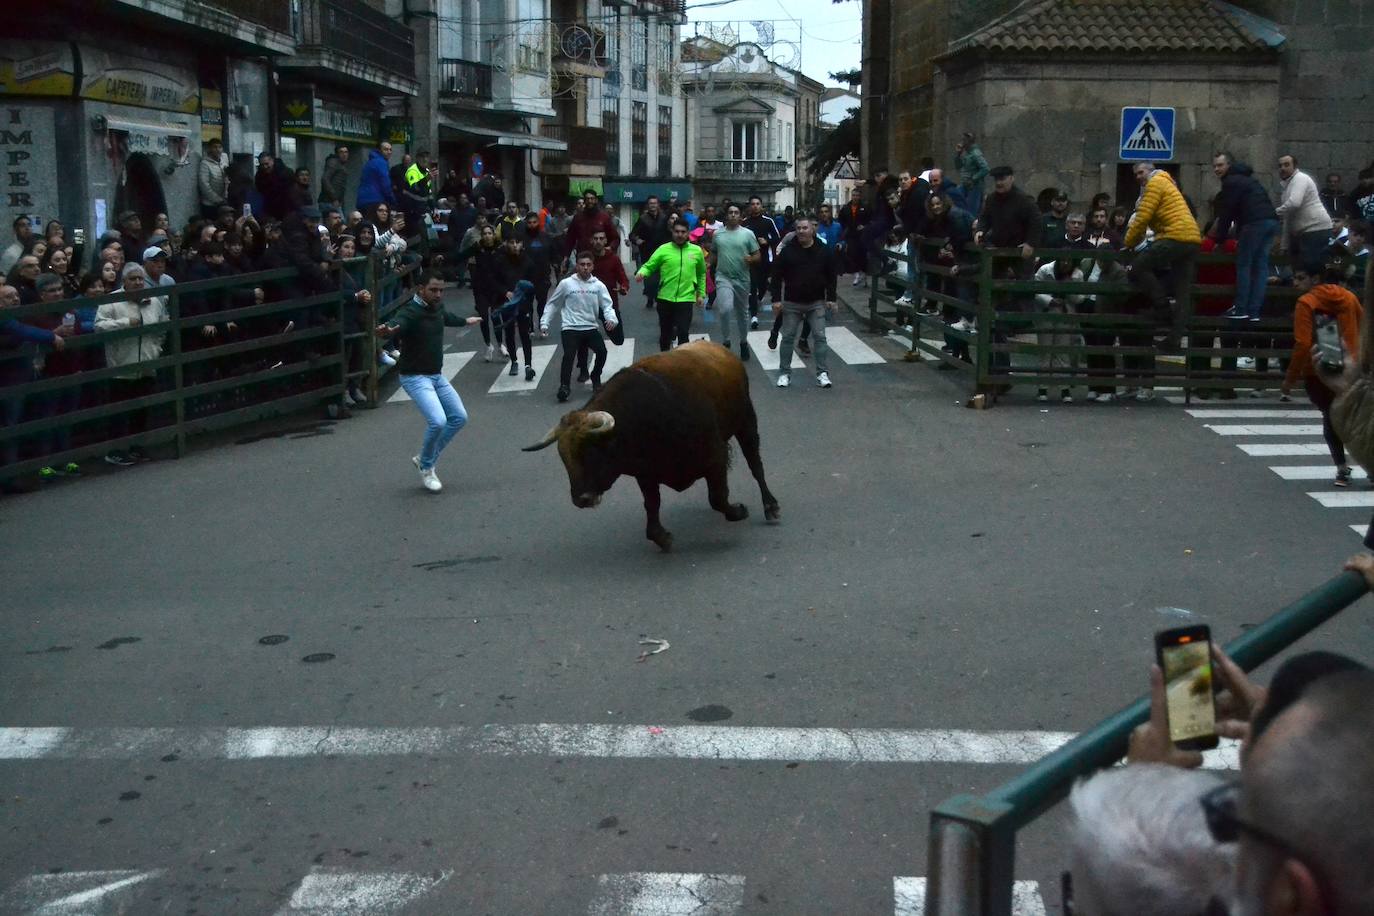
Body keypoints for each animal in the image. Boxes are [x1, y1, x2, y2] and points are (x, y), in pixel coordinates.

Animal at [519, 339, 780, 549]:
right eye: (564, 459)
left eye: (590, 451)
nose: (581, 499)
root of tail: (720, 350)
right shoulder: (646, 474)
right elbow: (652, 504)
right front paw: (662, 538)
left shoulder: (715, 456)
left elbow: (717, 497)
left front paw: (738, 511)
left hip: (747, 422)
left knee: (756, 464)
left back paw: (770, 506)